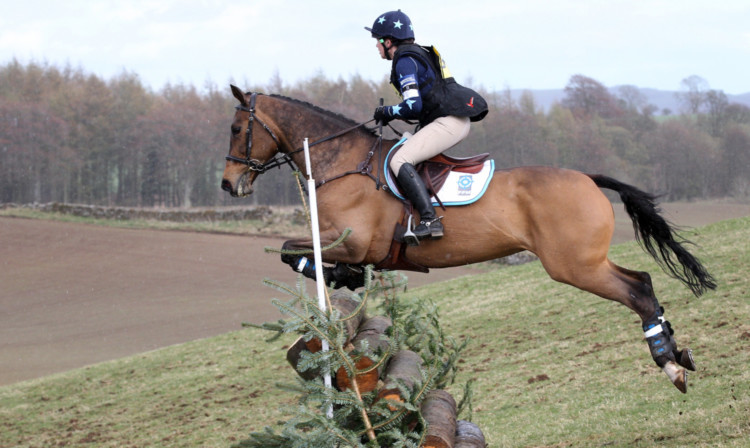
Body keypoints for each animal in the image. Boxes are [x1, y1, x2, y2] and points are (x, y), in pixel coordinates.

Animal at [222, 86, 716, 394]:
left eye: (235, 129)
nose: (229, 185)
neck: (343, 162)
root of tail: (587, 178)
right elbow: (294, 251)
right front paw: (343, 278)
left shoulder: (356, 242)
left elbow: (291, 250)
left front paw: (339, 275)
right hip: (587, 262)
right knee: (643, 282)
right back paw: (677, 353)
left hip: (574, 265)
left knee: (637, 291)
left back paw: (670, 365)